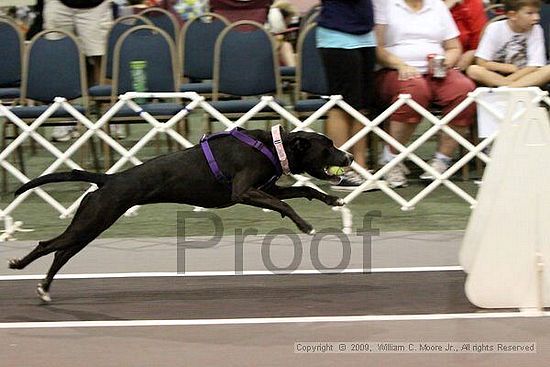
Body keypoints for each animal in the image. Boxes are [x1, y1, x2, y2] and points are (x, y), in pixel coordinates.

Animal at [8, 129, 354, 302]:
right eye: (328, 146)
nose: (350, 156)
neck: (273, 145)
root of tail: (108, 178)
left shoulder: (268, 188)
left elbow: (304, 190)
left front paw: (331, 200)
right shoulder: (244, 192)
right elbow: (286, 205)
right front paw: (305, 225)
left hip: (91, 224)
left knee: (61, 253)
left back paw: (45, 288)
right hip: (92, 220)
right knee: (47, 245)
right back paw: (19, 265)